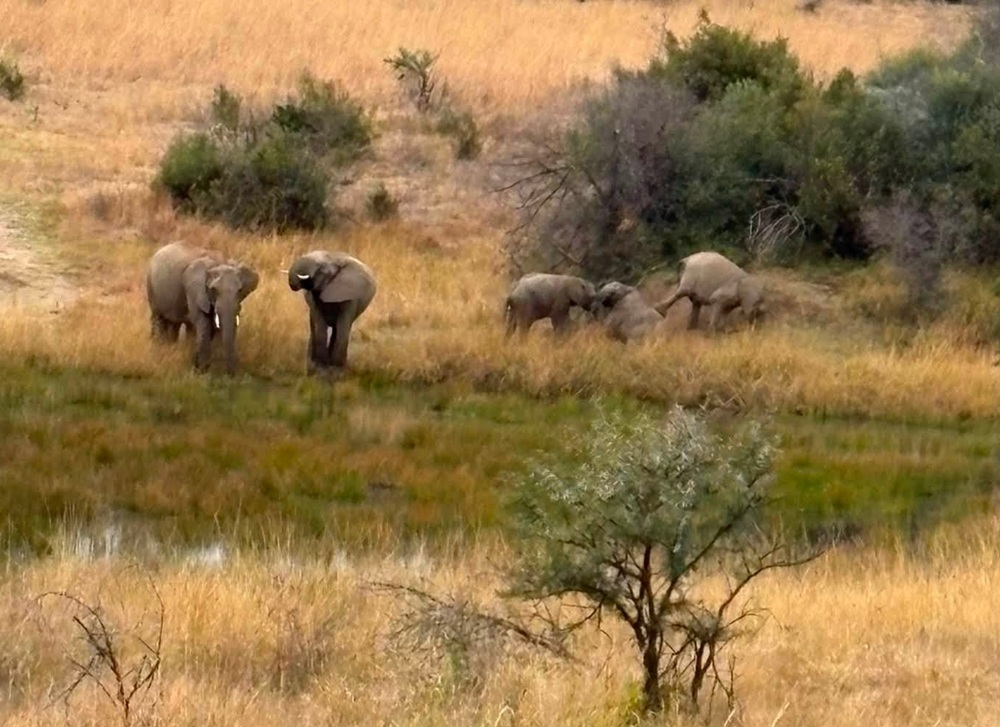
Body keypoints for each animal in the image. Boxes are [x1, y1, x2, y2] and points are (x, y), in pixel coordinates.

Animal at [146, 241, 259, 375]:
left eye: (240, 290)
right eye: (213, 290)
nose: (231, 375)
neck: (219, 262)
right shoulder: (195, 290)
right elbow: (204, 324)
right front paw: (202, 372)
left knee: (176, 324)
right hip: (151, 287)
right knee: (157, 318)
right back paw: (157, 347)